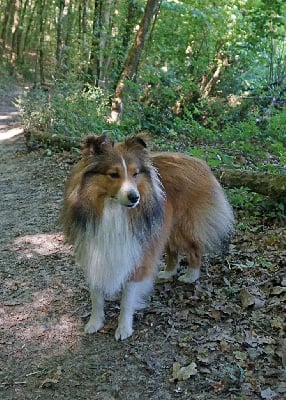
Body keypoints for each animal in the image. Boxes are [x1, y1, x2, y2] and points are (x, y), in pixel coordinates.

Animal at [61, 134, 233, 340]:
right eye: (114, 174)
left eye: (135, 174)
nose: (134, 197)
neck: (113, 211)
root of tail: (197, 161)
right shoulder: (93, 251)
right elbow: (96, 295)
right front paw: (95, 322)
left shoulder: (138, 254)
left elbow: (127, 299)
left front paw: (124, 328)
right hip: (163, 230)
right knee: (173, 252)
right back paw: (168, 272)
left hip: (182, 228)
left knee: (195, 250)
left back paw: (191, 276)